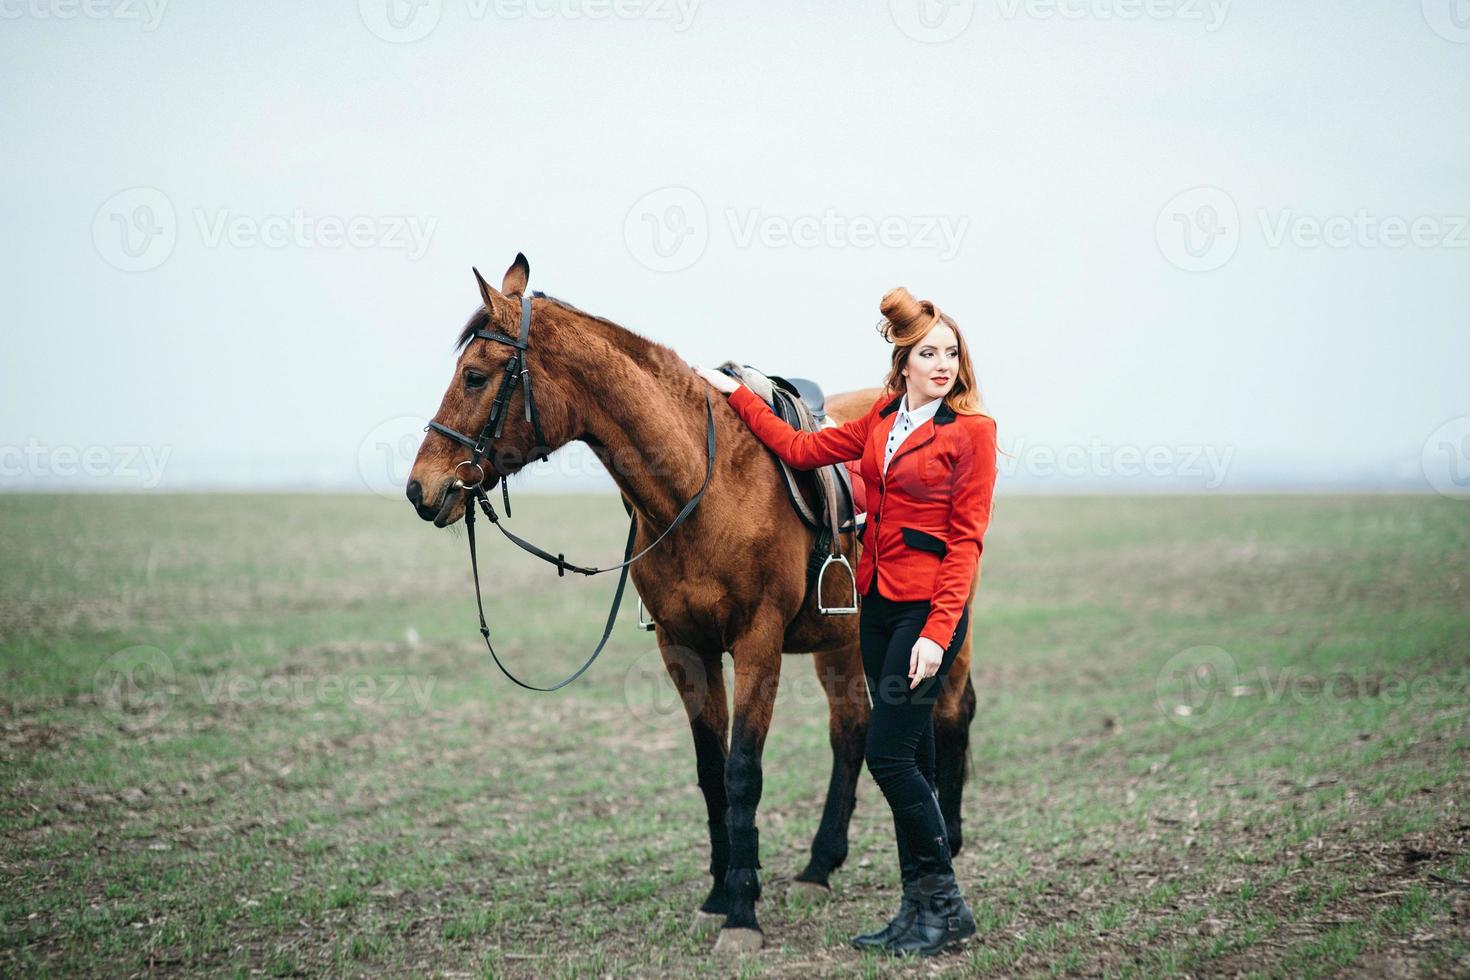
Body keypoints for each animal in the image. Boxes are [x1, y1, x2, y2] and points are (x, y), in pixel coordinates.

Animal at [405, 257, 976, 952]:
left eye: (476, 375)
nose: (421, 488)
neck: (704, 486)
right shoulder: (683, 647)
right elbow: (710, 771)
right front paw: (719, 894)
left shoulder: (757, 643)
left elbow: (743, 771)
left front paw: (743, 915)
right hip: (843, 642)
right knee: (853, 730)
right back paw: (819, 865)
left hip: (944, 632)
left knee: (950, 712)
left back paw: (946, 840)